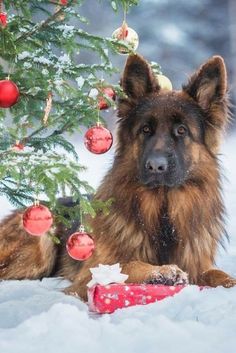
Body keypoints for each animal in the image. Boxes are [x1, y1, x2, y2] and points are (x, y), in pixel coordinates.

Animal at [0, 54, 236, 300]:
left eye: (181, 130)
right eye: (145, 130)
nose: (156, 166)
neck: (162, 214)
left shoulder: (199, 265)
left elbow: (217, 274)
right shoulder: (90, 274)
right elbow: (126, 264)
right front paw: (163, 271)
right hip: (43, 237)